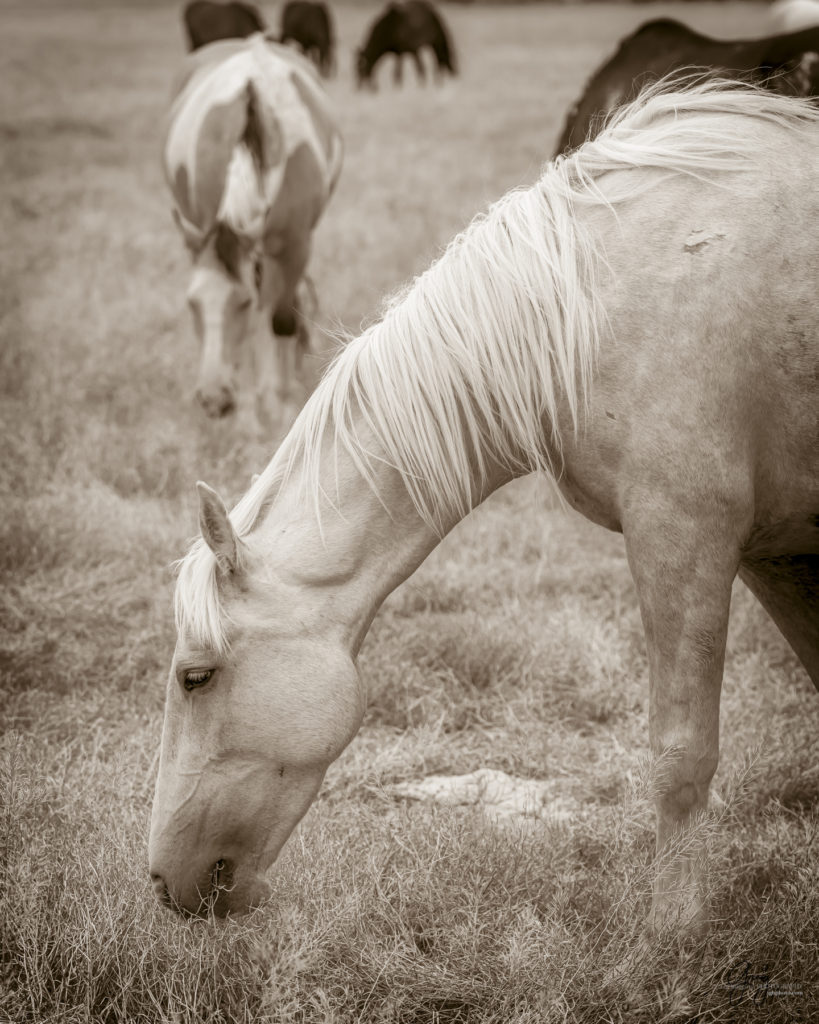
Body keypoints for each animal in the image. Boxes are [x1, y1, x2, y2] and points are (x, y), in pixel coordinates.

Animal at [148, 81, 818, 929]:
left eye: (195, 677)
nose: (162, 883)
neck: (589, 304)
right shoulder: (776, 552)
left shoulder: (684, 537)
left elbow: (680, 751)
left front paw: (673, 932)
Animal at [162, 35, 341, 419]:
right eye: (191, 304)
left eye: (242, 304)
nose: (213, 399)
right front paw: (248, 407)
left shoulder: (295, 247)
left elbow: (280, 319)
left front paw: (280, 398)